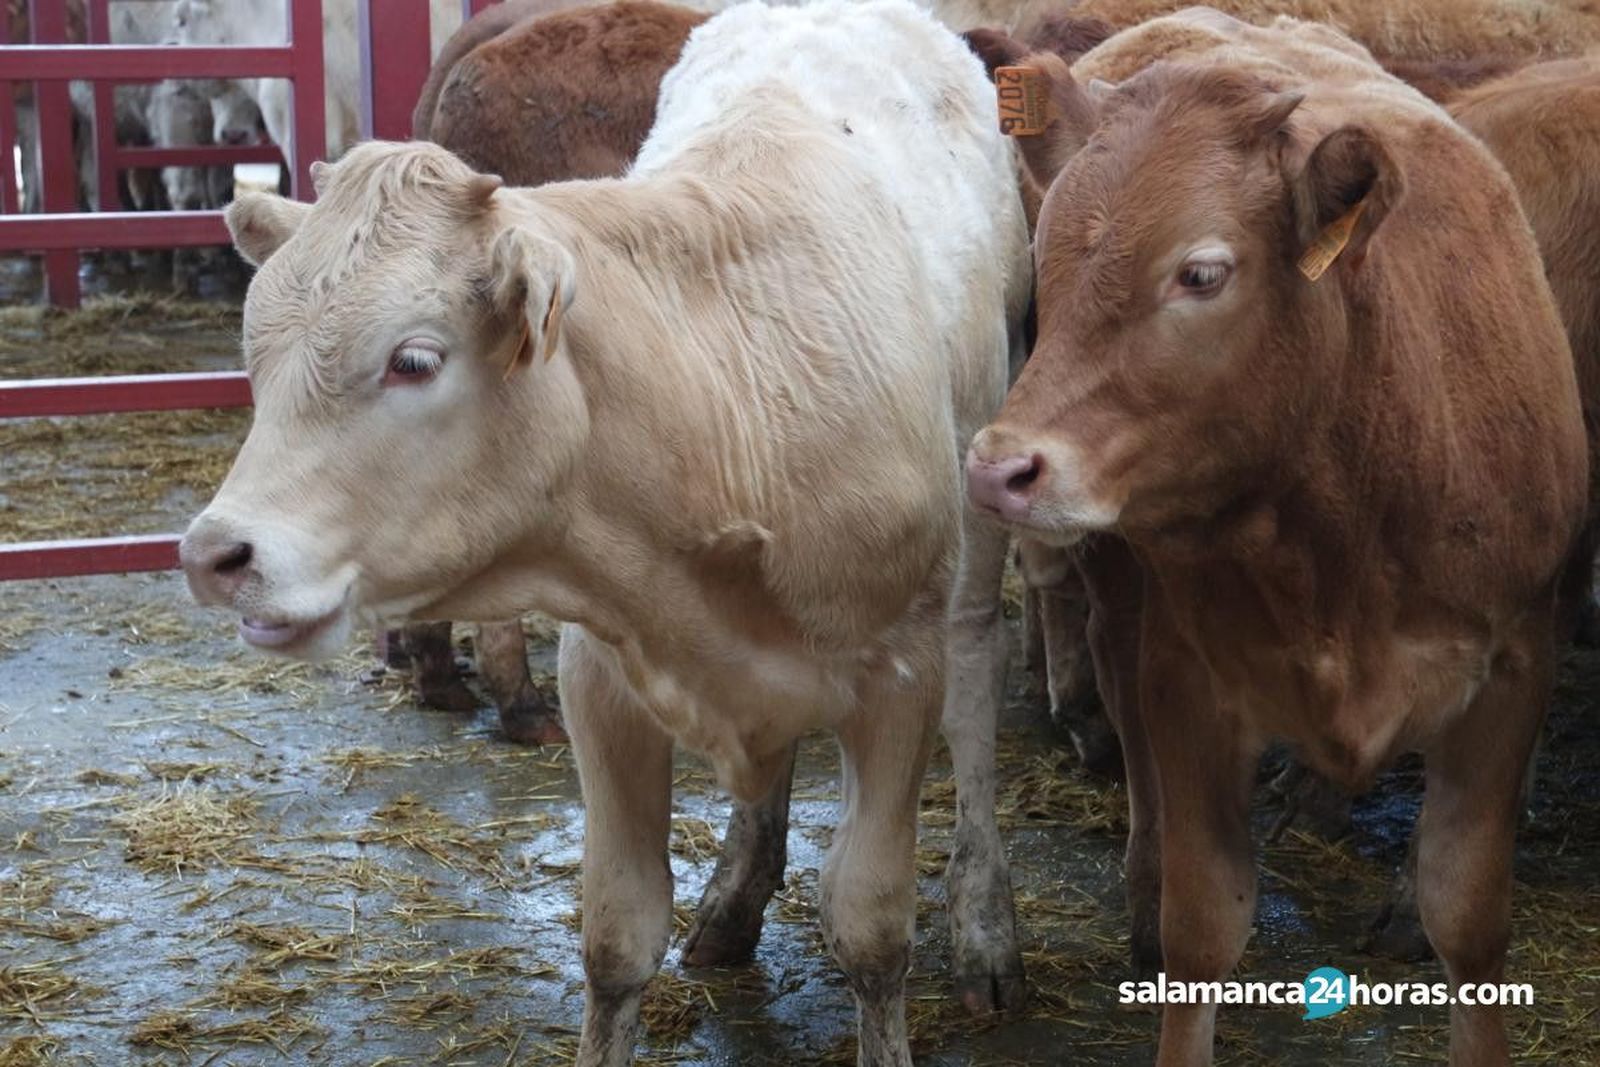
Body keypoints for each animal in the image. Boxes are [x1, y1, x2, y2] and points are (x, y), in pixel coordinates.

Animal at [178, 1, 1032, 1061]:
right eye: (257, 354)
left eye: (414, 359)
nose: (214, 554)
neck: (732, 399)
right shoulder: (604, 681)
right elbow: (618, 938)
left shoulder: (898, 679)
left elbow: (871, 928)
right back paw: (737, 893)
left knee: (978, 685)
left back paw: (984, 921)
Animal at [965, 10, 1587, 1064]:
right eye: (1044, 259)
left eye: (1202, 272)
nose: (999, 467)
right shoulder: (1191, 680)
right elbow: (1202, 923)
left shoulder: (1512, 669)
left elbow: (1467, 918)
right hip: (1127, 601)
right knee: (1123, 708)